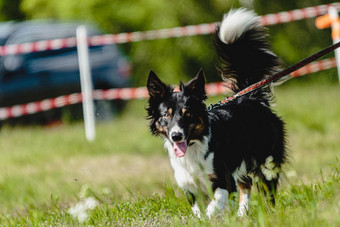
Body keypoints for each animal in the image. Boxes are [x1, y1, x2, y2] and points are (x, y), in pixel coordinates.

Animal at [146, 8, 286, 218]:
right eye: (166, 115)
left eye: (187, 114)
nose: (177, 136)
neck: (194, 148)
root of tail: (252, 97)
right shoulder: (189, 185)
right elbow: (199, 212)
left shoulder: (223, 179)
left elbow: (214, 205)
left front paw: (216, 216)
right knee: (246, 184)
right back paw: (242, 215)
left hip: (267, 162)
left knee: (267, 190)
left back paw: (269, 214)